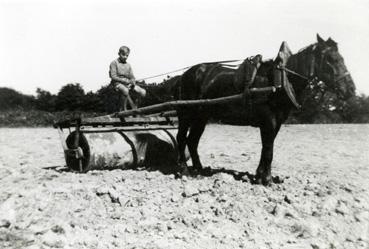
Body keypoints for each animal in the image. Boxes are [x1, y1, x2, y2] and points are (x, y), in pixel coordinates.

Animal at [177, 34, 356, 184]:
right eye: (331, 59)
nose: (351, 90)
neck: (280, 81)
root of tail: (185, 75)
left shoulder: (277, 123)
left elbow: (266, 149)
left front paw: (259, 175)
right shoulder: (268, 120)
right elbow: (269, 150)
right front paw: (267, 179)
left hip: (201, 116)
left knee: (192, 141)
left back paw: (200, 170)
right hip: (186, 114)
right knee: (181, 138)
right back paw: (184, 170)